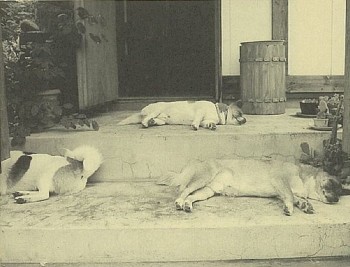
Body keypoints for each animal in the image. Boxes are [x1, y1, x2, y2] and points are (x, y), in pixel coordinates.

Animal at [159, 159, 344, 216]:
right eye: (332, 184)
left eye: (340, 192)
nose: (336, 200)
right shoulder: (280, 181)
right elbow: (291, 197)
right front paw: (290, 208)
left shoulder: (281, 192)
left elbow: (296, 199)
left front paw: (305, 205)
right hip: (202, 179)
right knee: (183, 190)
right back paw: (179, 202)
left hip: (207, 191)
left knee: (191, 196)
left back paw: (187, 205)